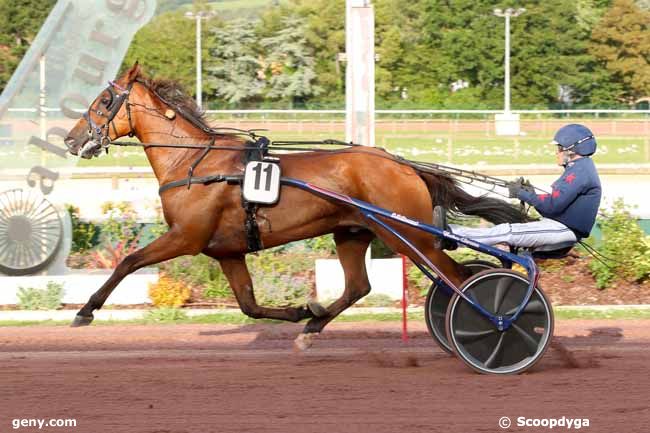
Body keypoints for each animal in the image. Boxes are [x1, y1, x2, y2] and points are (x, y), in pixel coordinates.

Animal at [63, 63, 524, 348]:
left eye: (104, 102)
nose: (71, 139)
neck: (194, 163)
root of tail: (404, 165)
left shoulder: (185, 237)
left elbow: (128, 262)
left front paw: (86, 310)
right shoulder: (227, 251)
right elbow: (249, 305)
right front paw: (303, 308)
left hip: (411, 236)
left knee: (459, 279)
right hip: (354, 233)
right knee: (361, 286)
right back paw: (314, 325)